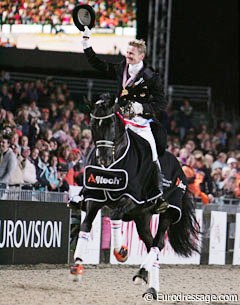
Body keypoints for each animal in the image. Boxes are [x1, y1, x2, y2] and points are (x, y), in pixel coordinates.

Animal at [70, 92, 201, 296]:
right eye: (92, 125)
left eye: (111, 123)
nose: (103, 159)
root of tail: (183, 169)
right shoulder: (94, 199)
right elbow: (85, 226)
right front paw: (77, 268)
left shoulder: (131, 198)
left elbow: (115, 217)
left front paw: (121, 251)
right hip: (142, 218)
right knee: (151, 244)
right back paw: (150, 287)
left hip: (168, 212)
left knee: (157, 244)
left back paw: (142, 274)